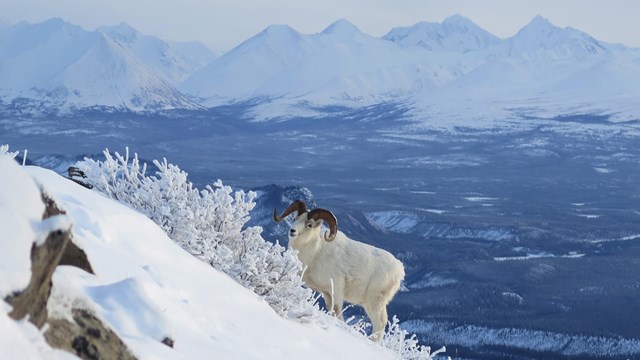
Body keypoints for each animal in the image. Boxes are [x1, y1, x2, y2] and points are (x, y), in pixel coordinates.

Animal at [272, 200, 402, 340]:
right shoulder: (326, 293)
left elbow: (337, 311)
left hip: (374, 302)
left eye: (309, 225)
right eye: (295, 219)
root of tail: (400, 270)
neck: (315, 253)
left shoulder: (336, 290)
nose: (292, 231)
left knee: (380, 324)